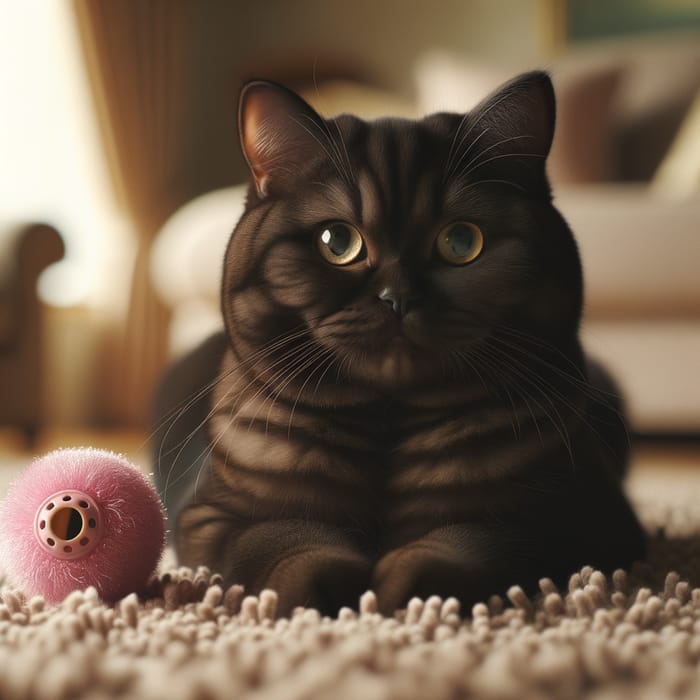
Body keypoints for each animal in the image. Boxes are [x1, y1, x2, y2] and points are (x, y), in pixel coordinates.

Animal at [156, 72, 648, 616]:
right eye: (336, 242)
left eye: (462, 242)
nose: (398, 297)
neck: (386, 428)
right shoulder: (211, 516)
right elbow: (281, 539)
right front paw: (326, 588)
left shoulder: (582, 513)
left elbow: (477, 538)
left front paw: (404, 590)